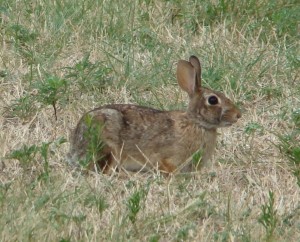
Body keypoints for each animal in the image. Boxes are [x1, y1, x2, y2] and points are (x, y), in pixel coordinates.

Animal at [67, 55, 240, 174]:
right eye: (213, 100)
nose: (238, 115)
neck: (197, 124)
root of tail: (76, 147)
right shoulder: (167, 158)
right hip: (109, 146)